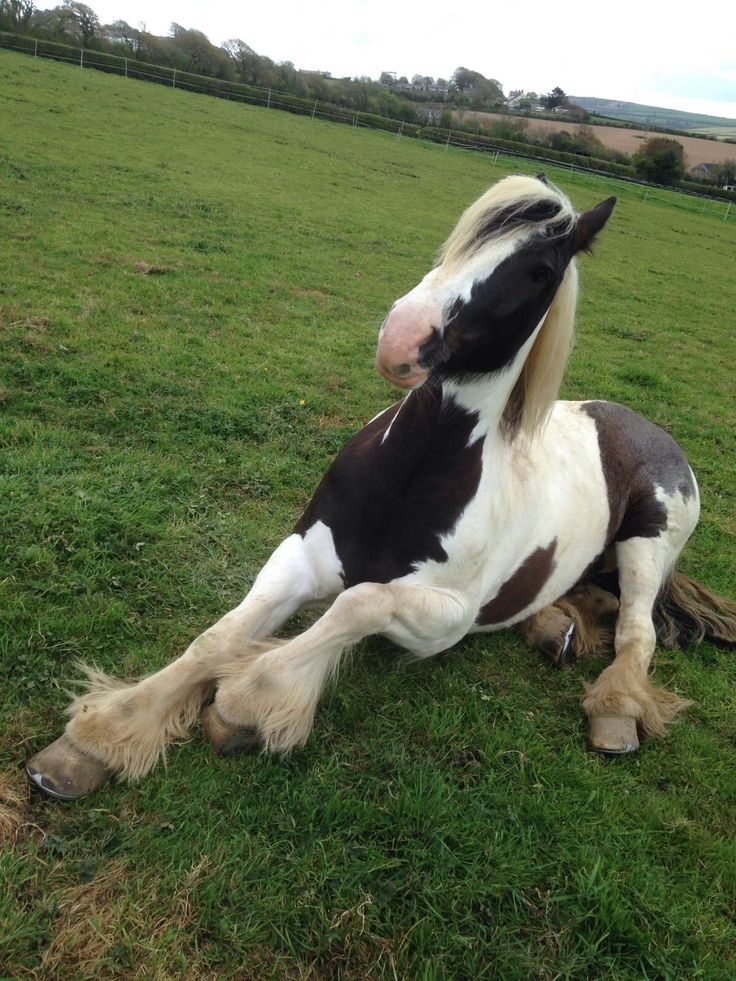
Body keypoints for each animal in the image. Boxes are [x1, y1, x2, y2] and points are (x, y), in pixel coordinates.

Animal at [24, 174, 736, 796]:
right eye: (463, 238)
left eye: (538, 270)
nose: (402, 338)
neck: (414, 477)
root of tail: (643, 426)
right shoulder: (304, 554)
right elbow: (218, 637)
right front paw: (99, 736)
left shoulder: (446, 616)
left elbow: (355, 604)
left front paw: (249, 704)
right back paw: (553, 629)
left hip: (648, 542)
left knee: (636, 633)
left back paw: (614, 710)